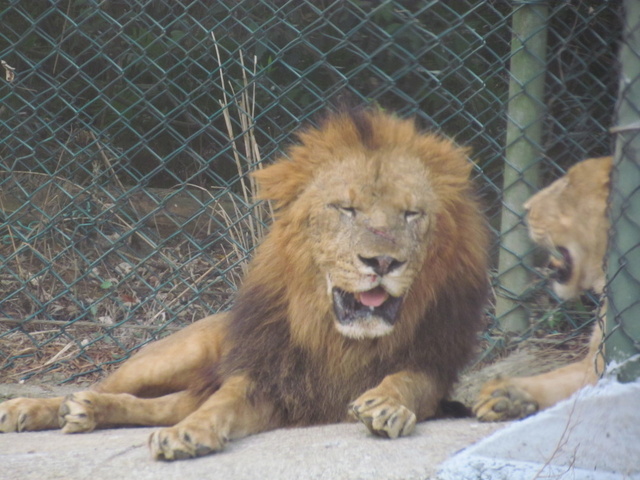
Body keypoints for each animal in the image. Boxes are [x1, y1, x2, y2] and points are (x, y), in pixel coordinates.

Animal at [1, 109, 490, 462]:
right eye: (346, 209)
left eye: (411, 214)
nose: (383, 261)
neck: (339, 339)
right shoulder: (264, 377)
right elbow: (217, 406)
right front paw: (188, 435)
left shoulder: (432, 364)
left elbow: (408, 381)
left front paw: (386, 404)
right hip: (178, 353)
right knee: (114, 385)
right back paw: (31, 408)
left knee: (161, 404)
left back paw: (85, 411)